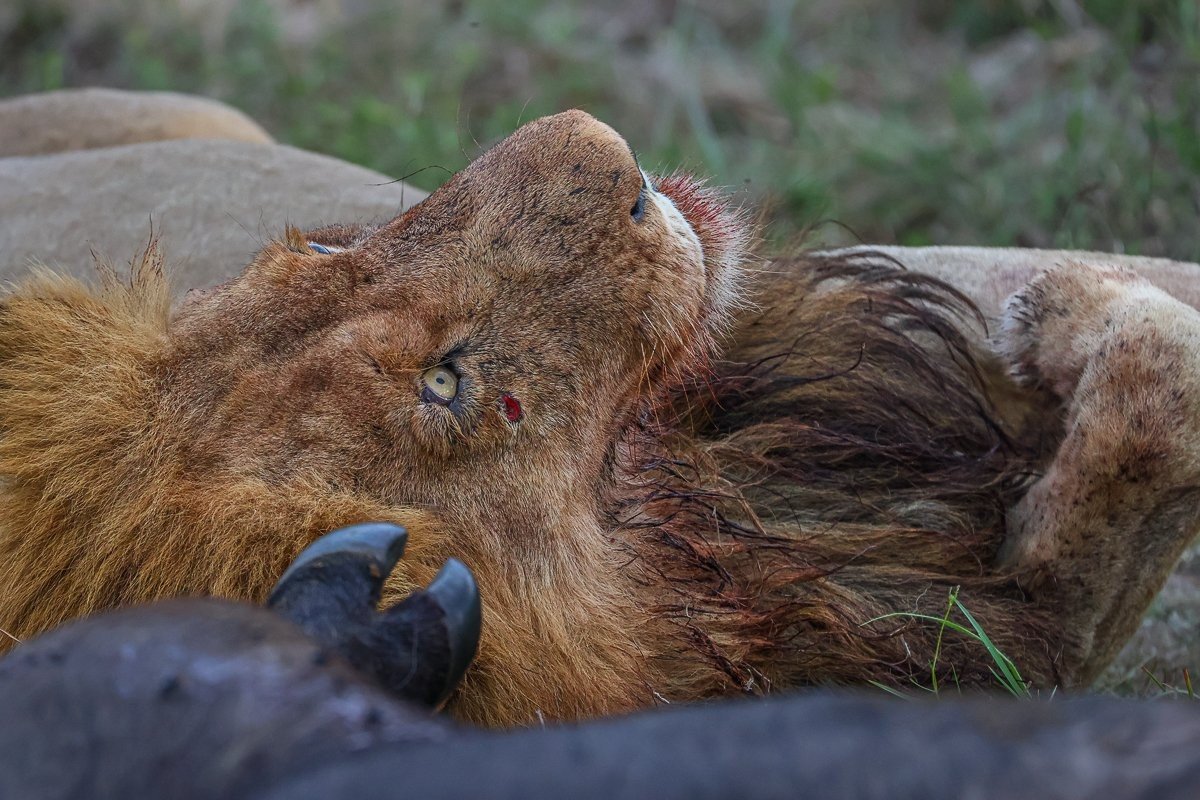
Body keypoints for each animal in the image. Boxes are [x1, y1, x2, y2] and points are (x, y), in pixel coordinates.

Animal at [2, 108, 1199, 727]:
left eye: (327, 247)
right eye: (446, 385)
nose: (603, 145)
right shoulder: (989, 645)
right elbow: (1159, 411)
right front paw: (1074, 313)